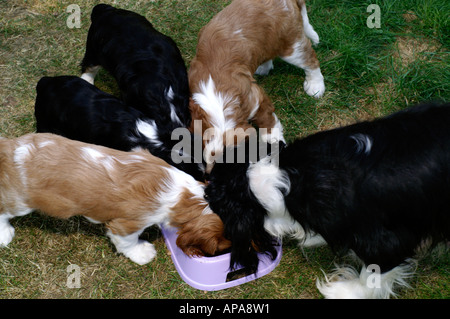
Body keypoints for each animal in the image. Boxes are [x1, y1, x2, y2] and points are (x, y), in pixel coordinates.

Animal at [0, 133, 230, 264]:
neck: (184, 194)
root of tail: (9, 147)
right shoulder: (127, 224)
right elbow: (128, 242)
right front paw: (142, 253)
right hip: (21, 199)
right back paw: (4, 235)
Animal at [188, 0, 326, 172]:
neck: (218, 104)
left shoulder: (255, 98)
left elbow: (268, 123)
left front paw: (274, 143)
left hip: (291, 46)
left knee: (311, 60)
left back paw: (315, 86)